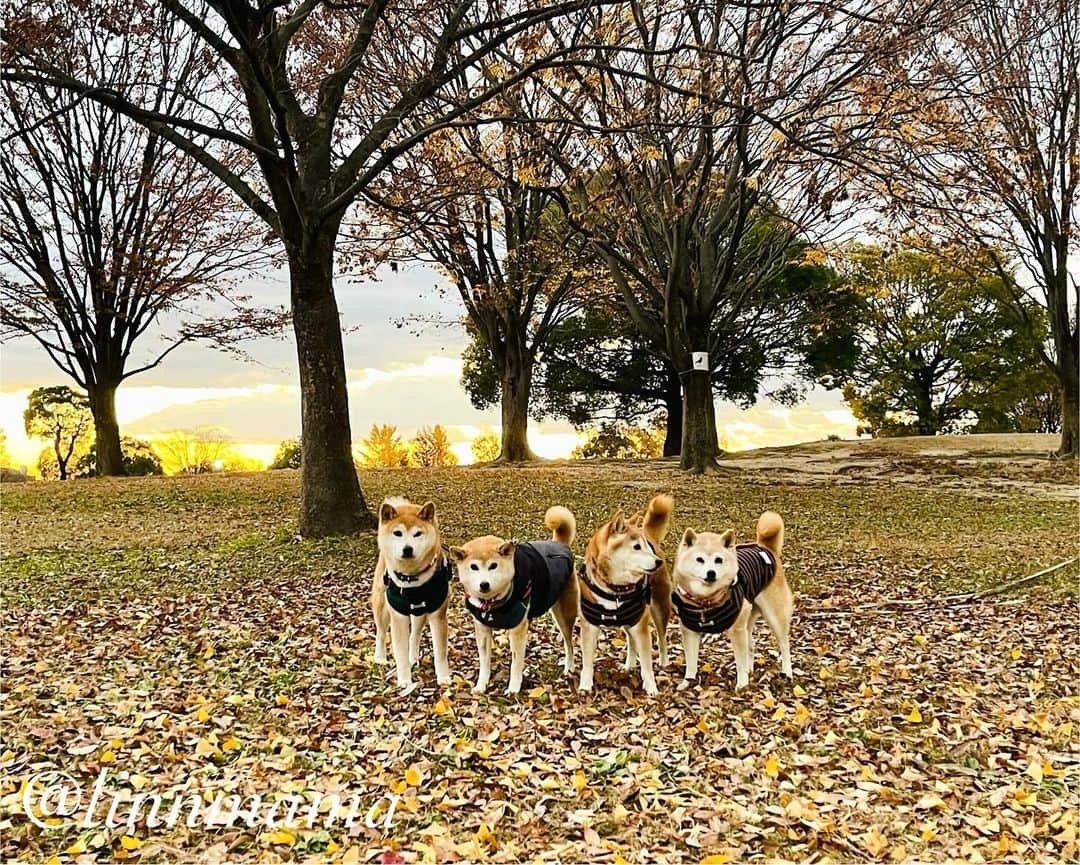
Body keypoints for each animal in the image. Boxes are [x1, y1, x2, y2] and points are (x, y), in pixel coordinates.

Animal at [371, 496, 451, 691]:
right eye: (398, 533)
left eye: (417, 534)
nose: (407, 549)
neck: (412, 579)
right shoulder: (398, 616)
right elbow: (399, 652)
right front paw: (405, 680)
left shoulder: (437, 614)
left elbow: (440, 652)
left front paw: (443, 677)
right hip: (382, 606)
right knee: (381, 632)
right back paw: (380, 657)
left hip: (420, 613)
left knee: (414, 635)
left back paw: (413, 657)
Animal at [449, 505, 578, 695]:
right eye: (474, 567)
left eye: (493, 566)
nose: (484, 584)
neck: (492, 604)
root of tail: (559, 544)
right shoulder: (482, 628)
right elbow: (484, 662)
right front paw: (481, 685)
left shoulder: (517, 630)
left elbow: (516, 663)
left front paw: (513, 688)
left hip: (564, 615)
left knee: (570, 644)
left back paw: (569, 668)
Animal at [578, 492, 669, 695]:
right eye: (636, 547)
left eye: (646, 547)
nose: (658, 562)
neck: (615, 590)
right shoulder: (590, 626)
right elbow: (587, 662)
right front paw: (585, 685)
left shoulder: (641, 627)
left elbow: (647, 665)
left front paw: (651, 687)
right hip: (630, 620)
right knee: (631, 640)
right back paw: (629, 665)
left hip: (658, 609)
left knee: (662, 638)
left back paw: (664, 662)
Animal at [665, 514, 794, 686]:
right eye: (699, 559)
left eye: (718, 560)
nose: (711, 573)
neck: (705, 601)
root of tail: (766, 547)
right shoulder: (689, 630)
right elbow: (691, 662)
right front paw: (687, 682)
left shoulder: (736, 630)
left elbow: (740, 661)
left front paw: (742, 685)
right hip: (748, 620)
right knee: (751, 646)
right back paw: (751, 670)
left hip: (774, 617)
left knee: (784, 646)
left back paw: (787, 673)